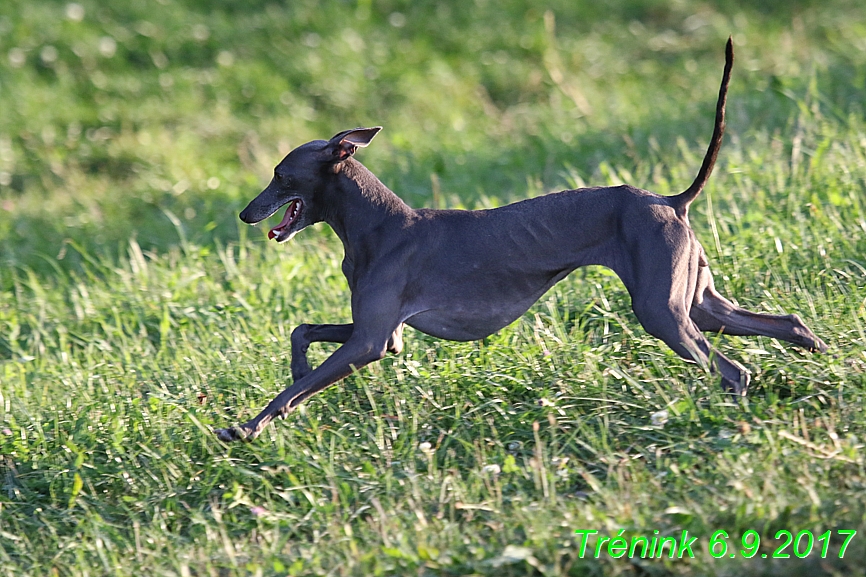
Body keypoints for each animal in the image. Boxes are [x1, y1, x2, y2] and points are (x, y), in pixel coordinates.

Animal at [214, 38, 824, 440]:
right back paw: (824, 362)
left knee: (733, 370)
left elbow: (291, 389)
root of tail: (670, 200)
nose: (245, 214)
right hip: (698, 301)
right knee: (785, 325)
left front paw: (247, 427)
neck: (380, 224)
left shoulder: (371, 341)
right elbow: (302, 332)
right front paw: (295, 372)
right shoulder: (386, 336)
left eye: (280, 175)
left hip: (663, 313)